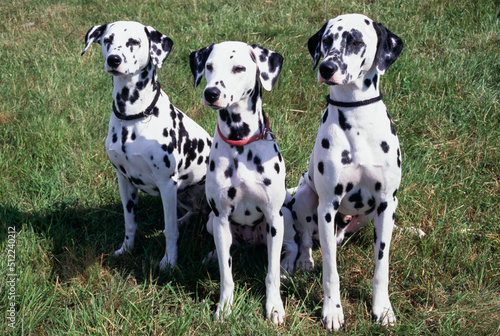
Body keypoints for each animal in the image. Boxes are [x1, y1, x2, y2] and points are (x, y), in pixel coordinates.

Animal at [81, 21, 213, 270]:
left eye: (133, 41)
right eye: (107, 40)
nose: (113, 59)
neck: (132, 117)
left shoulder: (166, 184)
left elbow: (170, 231)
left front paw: (169, 261)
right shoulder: (124, 181)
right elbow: (130, 223)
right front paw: (126, 249)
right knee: (194, 212)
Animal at [188, 41, 290, 326]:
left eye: (239, 68)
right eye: (209, 66)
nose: (211, 93)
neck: (241, 142)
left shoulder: (273, 217)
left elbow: (270, 273)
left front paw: (274, 307)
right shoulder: (222, 218)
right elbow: (227, 276)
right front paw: (224, 307)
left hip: (284, 220)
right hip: (213, 223)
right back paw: (212, 255)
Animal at [290, 14, 406, 330]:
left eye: (356, 41)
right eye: (327, 40)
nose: (327, 68)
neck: (357, 119)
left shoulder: (386, 203)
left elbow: (382, 267)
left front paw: (383, 309)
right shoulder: (328, 206)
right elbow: (331, 271)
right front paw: (332, 310)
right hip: (305, 197)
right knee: (304, 237)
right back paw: (303, 260)